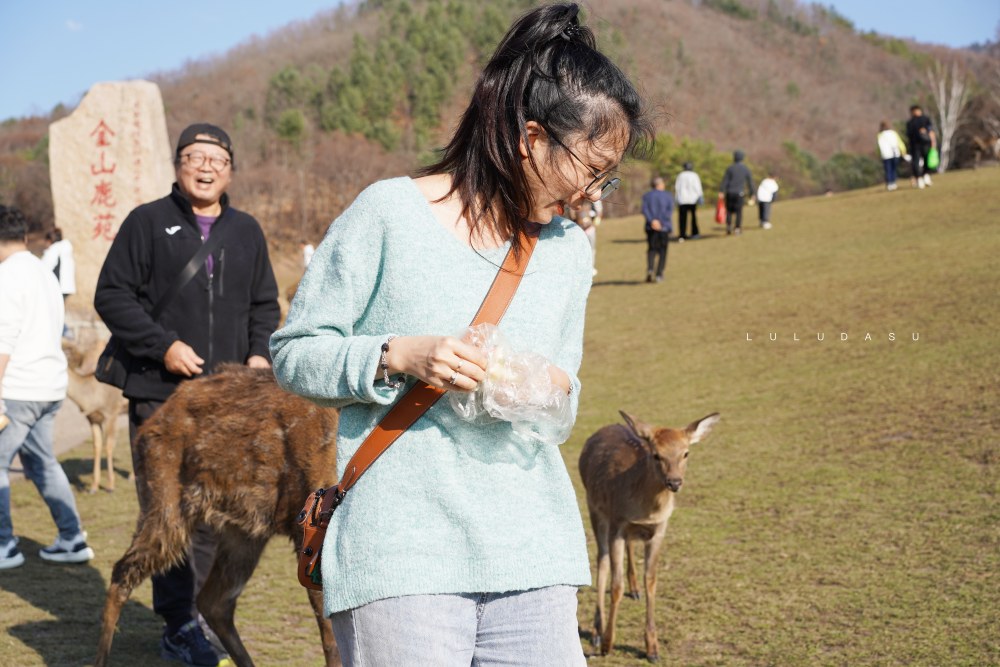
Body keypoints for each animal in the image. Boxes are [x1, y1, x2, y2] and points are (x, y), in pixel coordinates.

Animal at [61, 342, 127, 494]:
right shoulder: (93, 419)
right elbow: (96, 445)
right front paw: (93, 487)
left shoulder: (111, 412)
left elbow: (108, 446)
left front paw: (110, 486)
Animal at [95, 366, 342, 667]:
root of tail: (146, 428)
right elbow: (332, 636)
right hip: (165, 502)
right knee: (123, 570)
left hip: (245, 527)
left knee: (214, 601)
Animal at [580, 410, 720, 660]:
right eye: (656, 455)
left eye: (686, 452)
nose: (674, 482)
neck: (645, 510)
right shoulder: (616, 523)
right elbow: (616, 586)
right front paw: (607, 644)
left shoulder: (659, 529)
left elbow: (652, 581)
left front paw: (653, 649)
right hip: (594, 507)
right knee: (601, 560)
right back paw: (596, 632)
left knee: (627, 547)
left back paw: (634, 590)